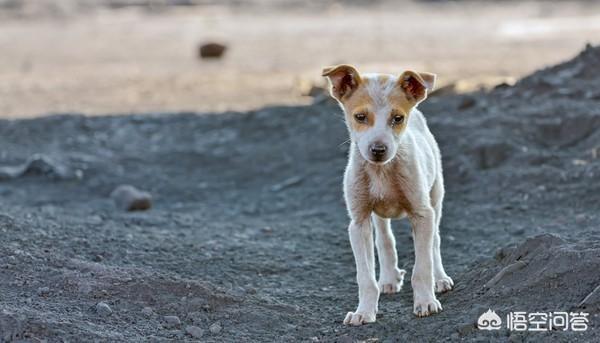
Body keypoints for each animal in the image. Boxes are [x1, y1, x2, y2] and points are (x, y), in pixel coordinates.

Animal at [322, 66, 452, 326]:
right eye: (360, 117)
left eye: (398, 118)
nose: (378, 150)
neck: (381, 171)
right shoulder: (358, 222)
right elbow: (365, 277)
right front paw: (364, 312)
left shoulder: (422, 214)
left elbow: (422, 268)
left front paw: (426, 302)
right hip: (378, 215)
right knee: (384, 239)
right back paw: (390, 278)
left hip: (436, 197)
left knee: (435, 242)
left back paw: (440, 278)